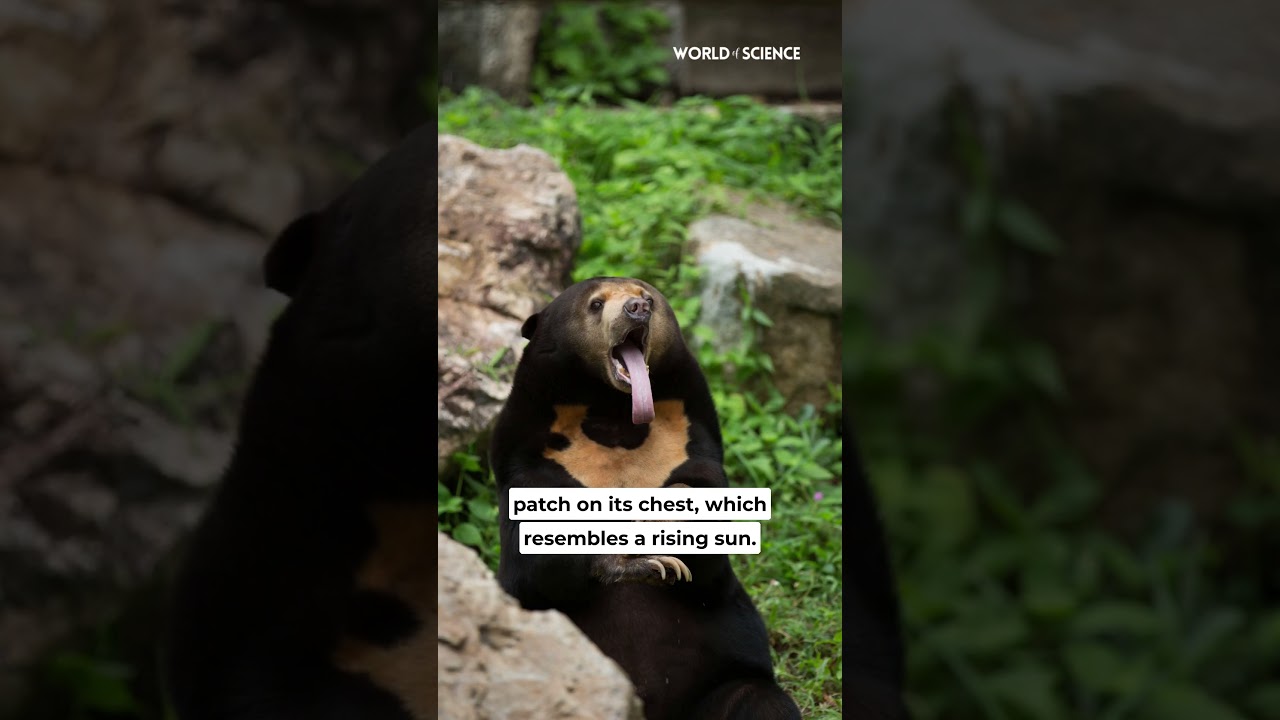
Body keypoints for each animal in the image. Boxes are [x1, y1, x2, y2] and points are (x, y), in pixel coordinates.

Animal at [489, 277, 804, 720]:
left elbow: (711, 563)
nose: (637, 309)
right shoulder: (527, 455)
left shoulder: (690, 437)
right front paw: (641, 561)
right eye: (596, 304)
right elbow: (538, 564)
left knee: (759, 700)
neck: (614, 414)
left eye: (647, 297)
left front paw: (667, 525)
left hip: (723, 682)